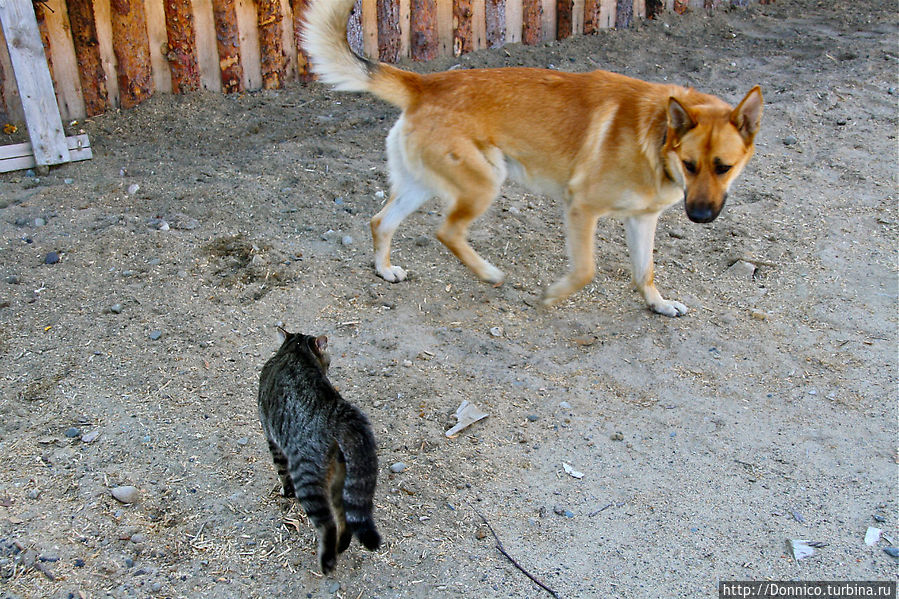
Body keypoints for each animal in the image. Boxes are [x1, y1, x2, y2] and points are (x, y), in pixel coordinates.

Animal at [256, 330, 380, 576]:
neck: (295, 351)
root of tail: (336, 411)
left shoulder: (271, 438)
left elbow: (281, 472)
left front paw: (286, 492)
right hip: (340, 478)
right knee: (344, 518)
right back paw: (341, 547)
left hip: (308, 476)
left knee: (328, 523)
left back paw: (328, 561)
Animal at [302, 0, 760, 318]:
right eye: (690, 165)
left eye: (724, 167)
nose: (700, 216)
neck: (658, 134)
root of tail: (425, 84)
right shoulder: (581, 208)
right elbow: (586, 270)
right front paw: (553, 295)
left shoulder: (642, 219)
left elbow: (643, 271)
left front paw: (658, 304)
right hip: (485, 182)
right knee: (446, 232)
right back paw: (489, 273)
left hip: (423, 184)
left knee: (381, 222)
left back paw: (385, 270)